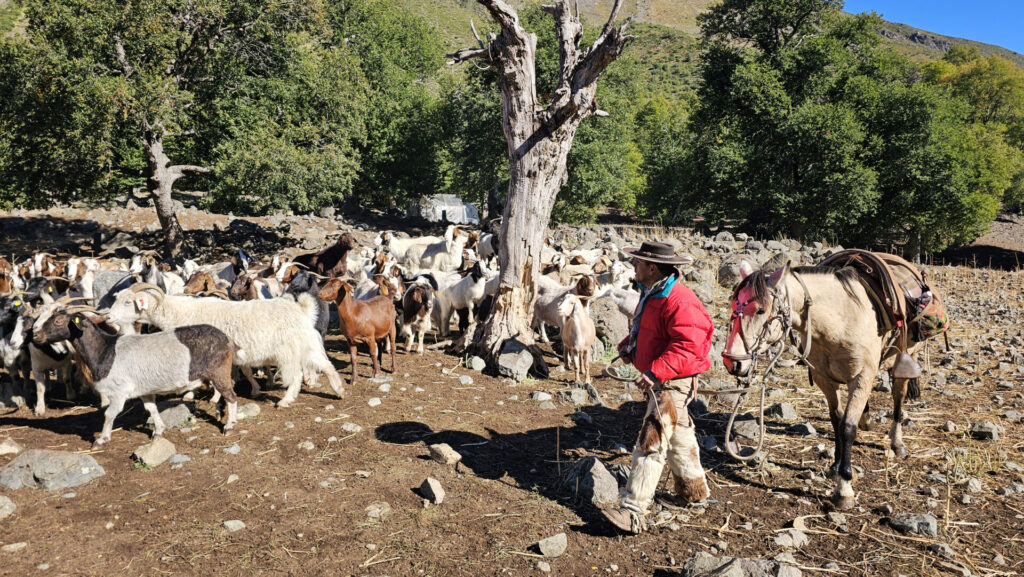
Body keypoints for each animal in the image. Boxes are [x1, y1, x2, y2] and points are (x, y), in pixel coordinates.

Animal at [720, 262, 929, 510]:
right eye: (734, 305)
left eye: (761, 310)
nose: (731, 362)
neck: (842, 321)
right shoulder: (825, 380)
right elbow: (836, 420)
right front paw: (835, 467)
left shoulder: (861, 378)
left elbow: (847, 428)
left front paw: (844, 487)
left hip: (907, 357)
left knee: (898, 398)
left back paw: (897, 443)